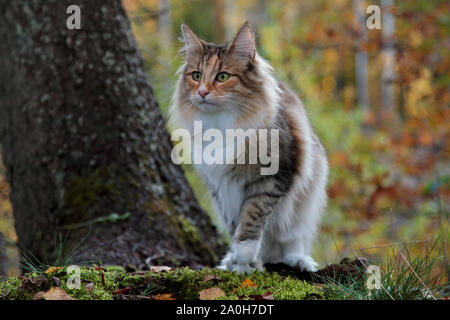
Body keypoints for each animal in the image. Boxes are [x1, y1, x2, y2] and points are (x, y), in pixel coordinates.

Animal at [171, 21, 328, 272]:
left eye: (222, 76)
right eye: (196, 76)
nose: (202, 92)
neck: (221, 124)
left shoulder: (271, 179)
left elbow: (251, 220)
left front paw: (245, 260)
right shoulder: (222, 187)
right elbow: (234, 223)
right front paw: (239, 263)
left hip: (307, 194)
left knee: (292, 237)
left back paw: (297, 259)